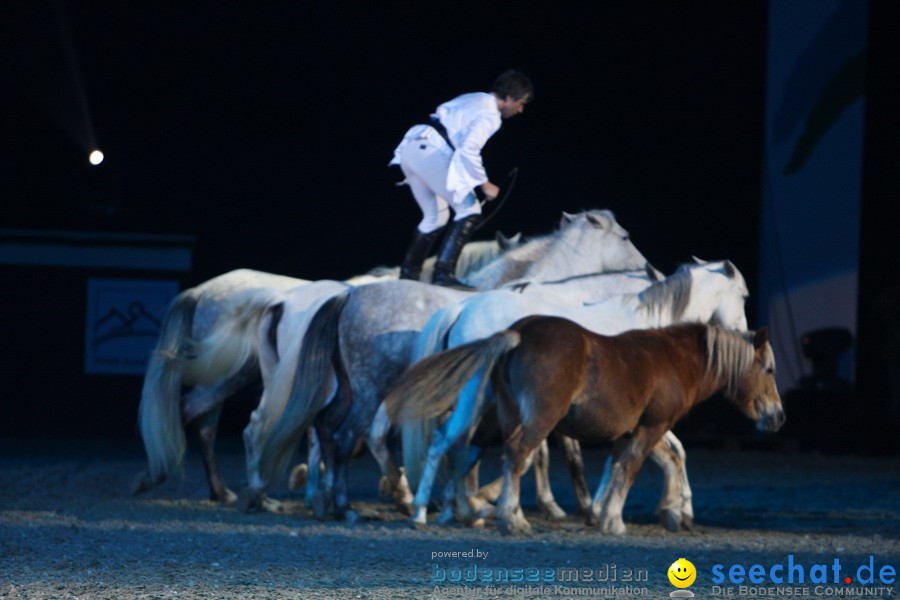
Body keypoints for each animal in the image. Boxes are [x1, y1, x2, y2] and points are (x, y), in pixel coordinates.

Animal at [237, 209, 648, 516]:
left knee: (298, 428)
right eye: (625, 237)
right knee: (328, 432)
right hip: (354, 388)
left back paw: (296, 497)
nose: (651, 270)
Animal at [390, 258, 748, 528]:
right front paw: (669, 508)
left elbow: (666, 452)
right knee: (451, 443)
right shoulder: (646, 416)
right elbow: (666, 453)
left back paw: (456, 509)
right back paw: (428, 510)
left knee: (457, 445)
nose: (744, 335)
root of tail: (462, 308)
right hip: (476, 398)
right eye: (744, 296)